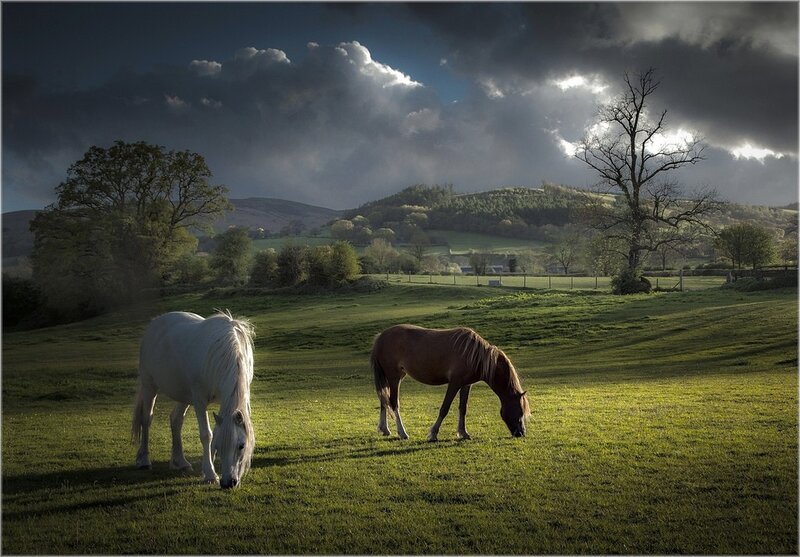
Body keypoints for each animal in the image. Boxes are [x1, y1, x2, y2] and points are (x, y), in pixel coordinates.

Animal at [132, 310, 255, 489]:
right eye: (219, 446)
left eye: (241, 446)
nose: (228, 482)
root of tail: (155, 323)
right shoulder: (199, 400)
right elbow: (206, 435)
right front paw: (210, 473)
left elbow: (213, 432)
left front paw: (207, 468)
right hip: (150, 387)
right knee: (146, 419)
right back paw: (144, 460)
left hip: (183, 396)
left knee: (176, 420)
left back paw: (181, 462)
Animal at [371, 324, 530, 441]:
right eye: (520, 410)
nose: (521, 433)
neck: (475, 355)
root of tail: (380, 337)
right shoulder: (454, 383)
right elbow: (444, 408)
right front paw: (433, 434)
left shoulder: (466, 385)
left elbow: (463, 408)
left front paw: (463, 433)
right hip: (394, 378)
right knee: (393, 402)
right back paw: (402, 433)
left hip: (389, 378)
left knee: (383, 400)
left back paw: (385, 429)